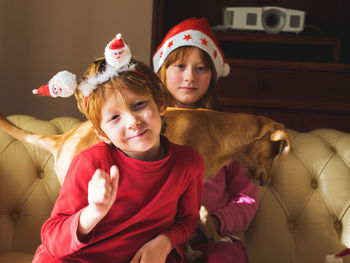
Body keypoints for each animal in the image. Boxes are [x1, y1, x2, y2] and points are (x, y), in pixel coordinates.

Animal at [0, 106, 288, 260]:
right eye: (275, 152)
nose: (268, 181)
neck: (216, 131)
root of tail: (63, 138)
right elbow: (195, 217)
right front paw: (193, 252)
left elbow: (201, 214)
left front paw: (212, 238)